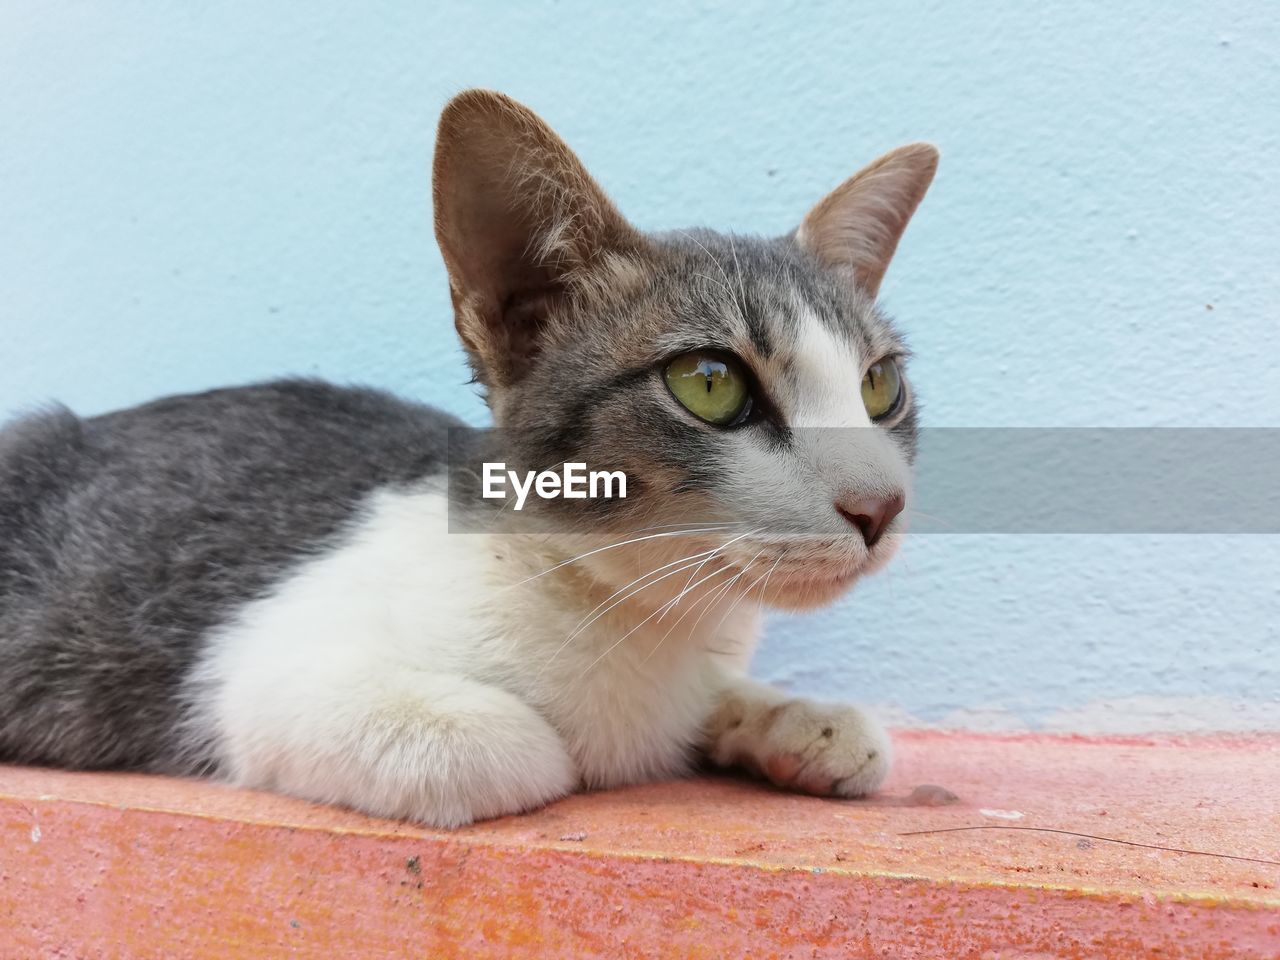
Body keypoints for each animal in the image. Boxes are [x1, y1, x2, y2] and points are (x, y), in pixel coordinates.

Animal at [2, 88, 942, 829]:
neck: (642, 622)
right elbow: (518, 750)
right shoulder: (253, 678)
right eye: (709, 383)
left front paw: (796, 718)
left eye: (879, 386)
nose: (881, 504)